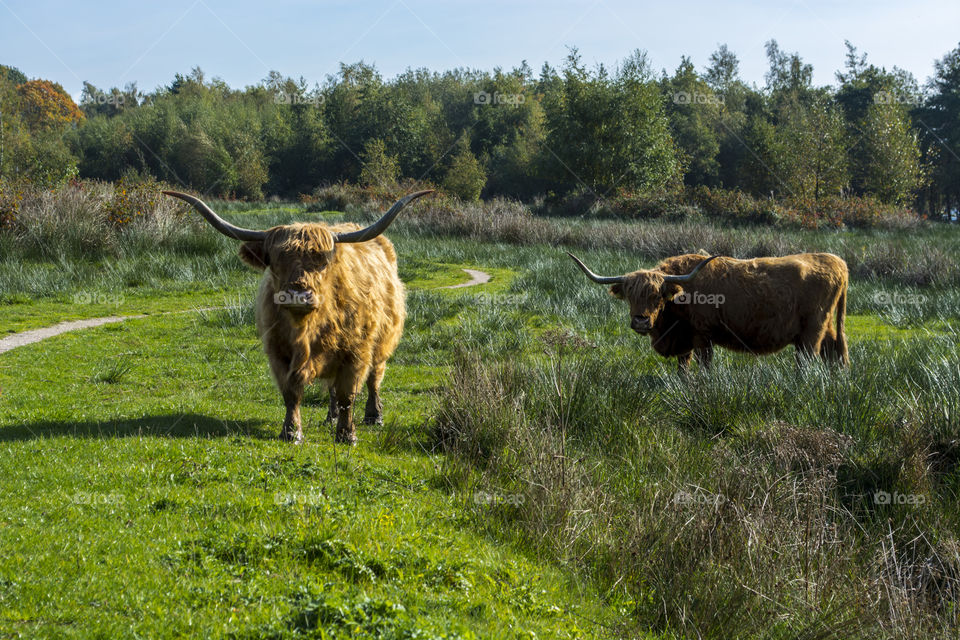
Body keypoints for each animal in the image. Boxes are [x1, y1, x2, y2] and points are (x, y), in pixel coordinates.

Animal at [166, 188, 436, 442]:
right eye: (274, 261)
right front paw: (291, 432)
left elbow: (348, 394)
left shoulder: (356, 351)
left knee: (374, 378)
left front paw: (347, 435)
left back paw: (374, 416)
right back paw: (330, 417)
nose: (298, 295)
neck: (307, 329)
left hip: (382, 343)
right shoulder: (279, 353)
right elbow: (292, 393)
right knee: (332, 388)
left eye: (322, 261)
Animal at [568, 250, 852, 370]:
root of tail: (836, 261)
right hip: (826, 329)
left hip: (811, 332)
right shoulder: (684, 341)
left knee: (807, 363)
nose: (640, 321)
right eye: (629, 296)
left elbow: (705, 369)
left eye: (657, 296)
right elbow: (683, 369)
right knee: (836, 355)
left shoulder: (702, 336)